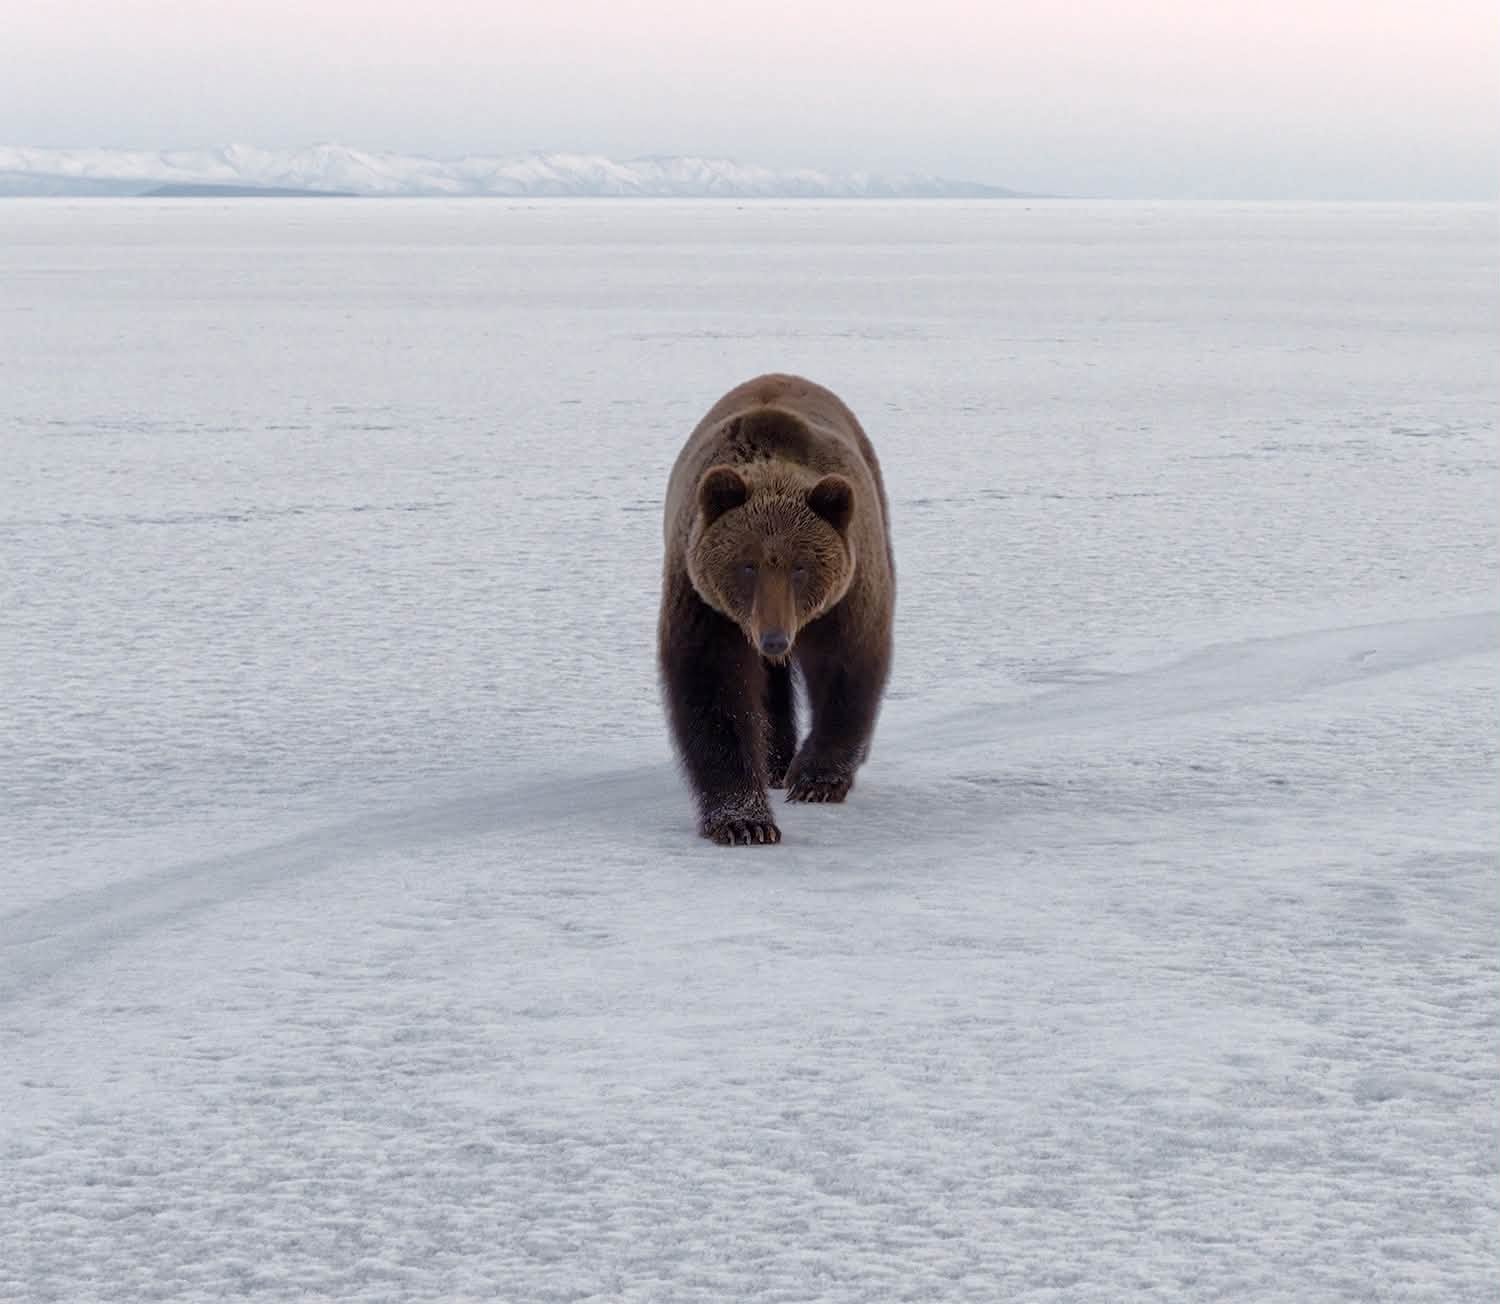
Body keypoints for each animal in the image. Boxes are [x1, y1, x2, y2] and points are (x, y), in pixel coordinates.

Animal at [659, 374, 895, 845]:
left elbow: (848, 670)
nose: (774, 639)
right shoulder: (705, 606)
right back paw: (774, 759)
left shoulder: (845, 597)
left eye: (801, 566)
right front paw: (743, 820)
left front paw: (817, 780)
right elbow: (714, 691)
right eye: (746, 564)